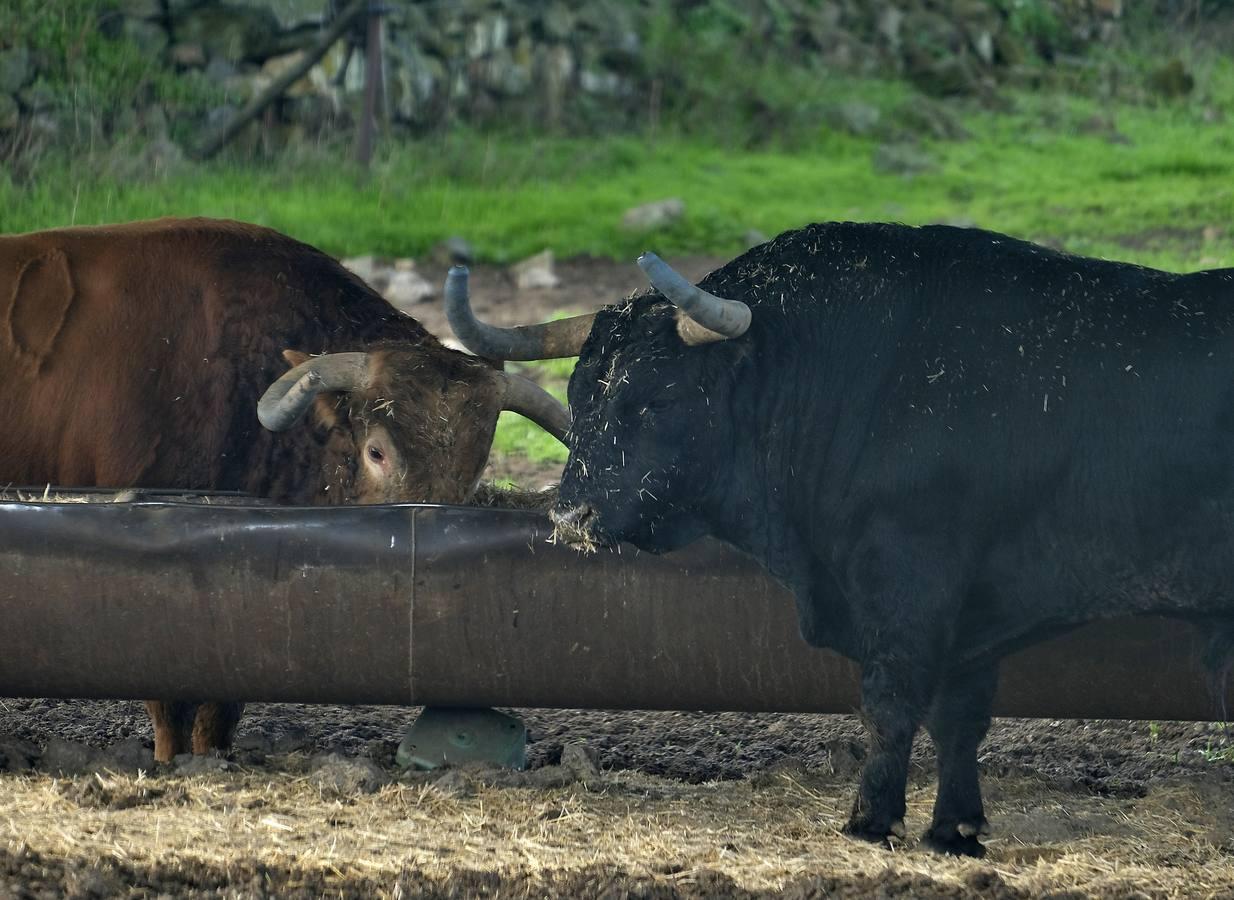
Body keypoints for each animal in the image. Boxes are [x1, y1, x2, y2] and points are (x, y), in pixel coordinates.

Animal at [449, 220, 1234, 854]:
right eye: (581, 392)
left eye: (658, 397)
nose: (570, 519)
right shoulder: (970, 612)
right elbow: (959, 717)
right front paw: (954, 830)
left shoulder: (910, 585)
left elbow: (891, 705)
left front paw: (870, 820)